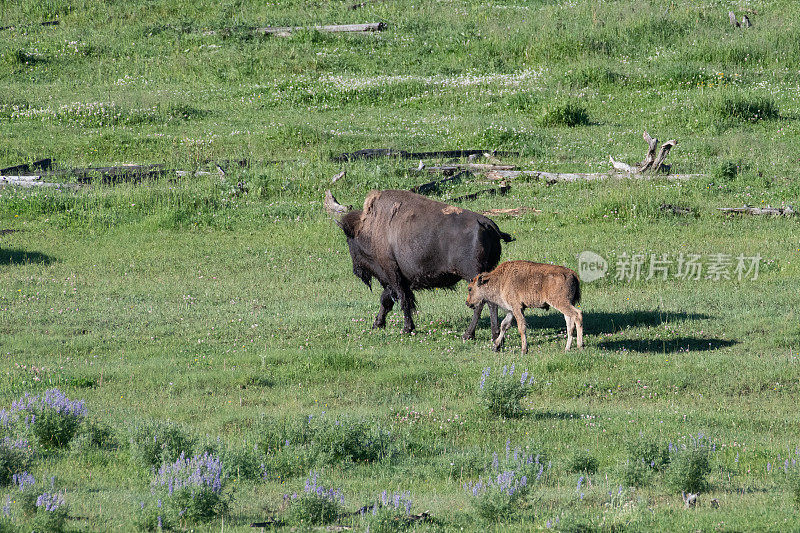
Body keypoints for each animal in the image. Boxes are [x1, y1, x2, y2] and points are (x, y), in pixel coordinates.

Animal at [324, 189, 512, 338]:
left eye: (349, 240)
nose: (356, 270)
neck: (372, 228)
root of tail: (487, 224)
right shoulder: (396, 278)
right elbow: (387, 300)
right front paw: (377, 324)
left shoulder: (392, 273)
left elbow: (402, 300)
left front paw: (407, 329)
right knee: (491, 302)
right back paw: (494, 333)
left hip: (472, 274)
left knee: (481, 303)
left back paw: (469, 334)